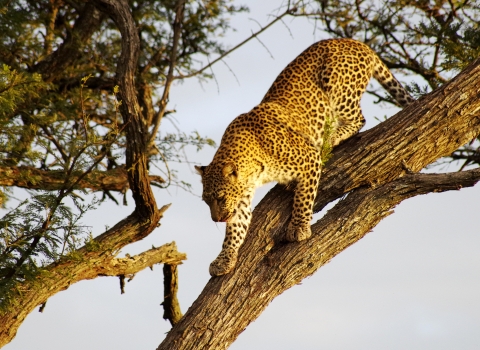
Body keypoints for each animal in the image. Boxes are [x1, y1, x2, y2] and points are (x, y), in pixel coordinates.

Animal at [194, 37, 412, 276]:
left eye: (220, 198)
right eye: (207, 201)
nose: (216, 219)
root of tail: (356, 42)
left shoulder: (309, 159)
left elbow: (304, 197)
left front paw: (299, 228)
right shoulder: (242, 195)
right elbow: (235, 229)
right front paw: (224, 258)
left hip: (337, 87)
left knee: (358, 119)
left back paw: (331, 138)